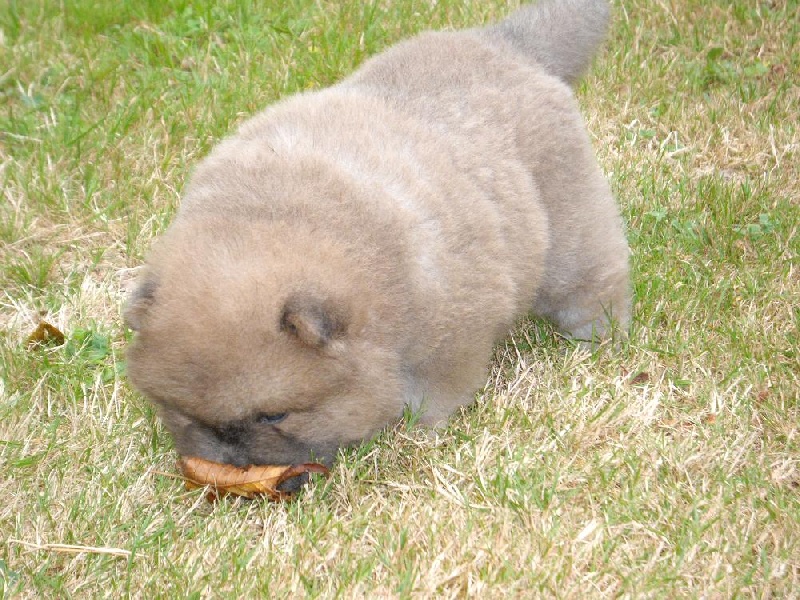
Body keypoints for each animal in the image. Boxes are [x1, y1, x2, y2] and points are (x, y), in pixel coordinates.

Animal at [125, 0, 630, 473]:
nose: (230, 459)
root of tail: (507, 44)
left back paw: (597, 338)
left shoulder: (456, 329)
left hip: (568, 227)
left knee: (595, 278)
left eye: (275, 417)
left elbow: (437, 392)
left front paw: (420, 430)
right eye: (183, 413)